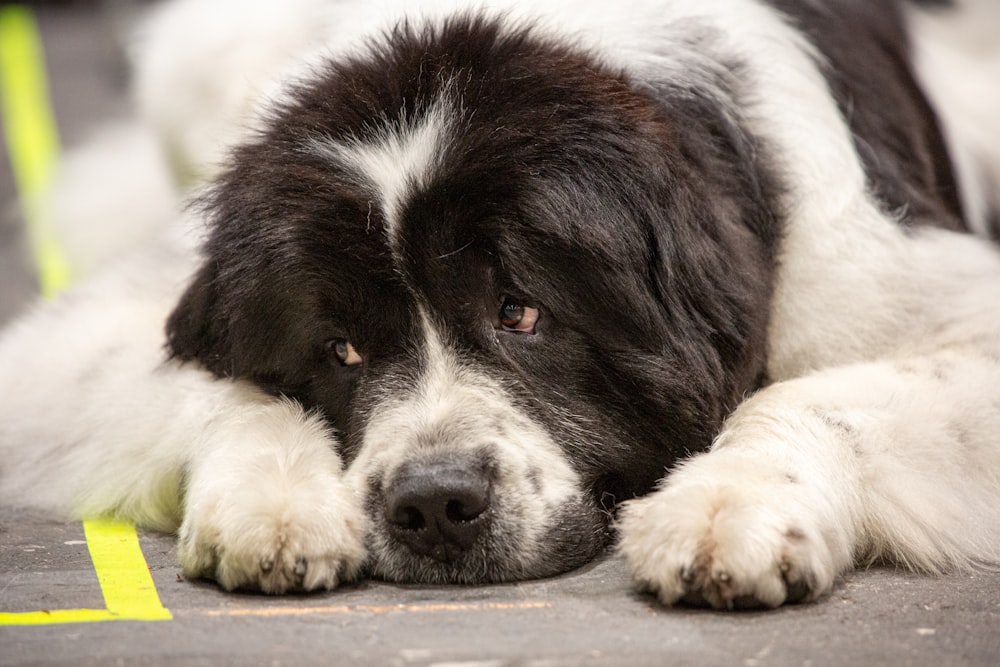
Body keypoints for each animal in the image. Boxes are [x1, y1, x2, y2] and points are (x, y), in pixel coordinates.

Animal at [1, 0, 1000, 612]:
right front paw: (271, 498)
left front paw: (728, 508)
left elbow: (806, 394)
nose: (435, 503)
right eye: (340, 349)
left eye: (521, 312)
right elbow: (213, 384)